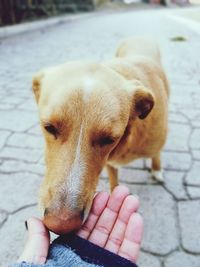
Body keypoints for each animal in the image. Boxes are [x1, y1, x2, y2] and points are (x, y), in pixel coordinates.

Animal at [32, 37, 169, 234]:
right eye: (49, 127)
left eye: (109, 139)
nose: (61, 224)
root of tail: (140, 36)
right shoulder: (110, 164)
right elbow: (113, 179)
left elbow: (156, 154)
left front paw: (156, 169)